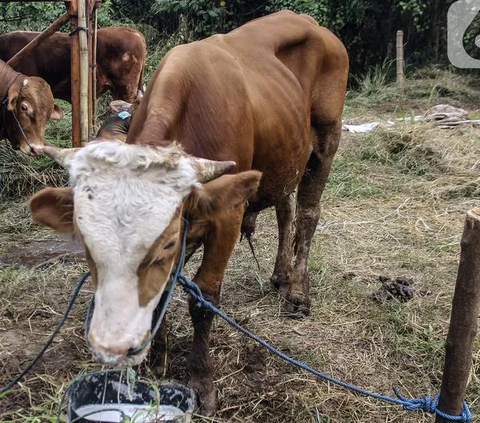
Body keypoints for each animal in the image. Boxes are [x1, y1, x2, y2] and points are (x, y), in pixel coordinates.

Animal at [28, 11, 346, 416]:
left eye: (164, 246)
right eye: (88, 245)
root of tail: (308, 21)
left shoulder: (227, 215)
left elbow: (204, 299)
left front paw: (202, 382)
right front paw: (156, 361)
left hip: (326, 140)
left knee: (307, 214)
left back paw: (298, 294)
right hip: (285, 158)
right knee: (285, 209)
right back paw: (280, 275)